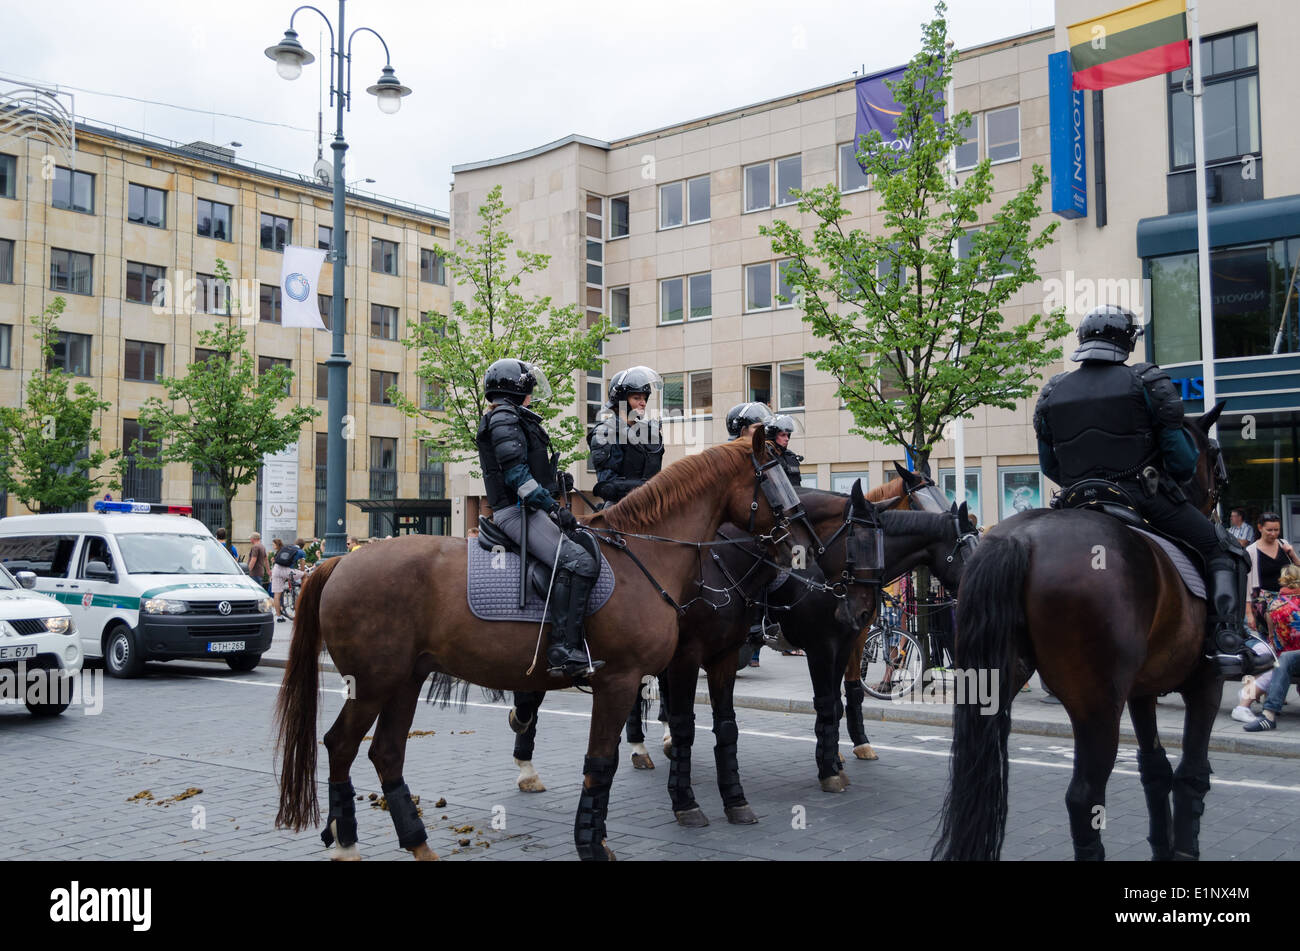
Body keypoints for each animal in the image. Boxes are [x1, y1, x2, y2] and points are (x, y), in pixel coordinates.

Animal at [271, 431, 790, 862]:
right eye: (775, 476)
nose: (792, 539)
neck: (644, 555)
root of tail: (338, 560)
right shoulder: (620, 680)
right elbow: (601, 763)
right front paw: (593, 844)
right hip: (372, 683)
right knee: (341, 745)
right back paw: (347, 844)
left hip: (405, 680)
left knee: (385, 753)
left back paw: (417, 843)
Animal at [935, 405, 1227, 867]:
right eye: (1214, 457)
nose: (1217, 503)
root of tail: (1020, 540)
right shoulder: (1206, 682)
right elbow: (1191, 774)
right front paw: (1183, 849)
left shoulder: (1142, 691)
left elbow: (1154, 769)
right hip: (1097, 705)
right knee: (1084, 798)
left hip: (994, 681)